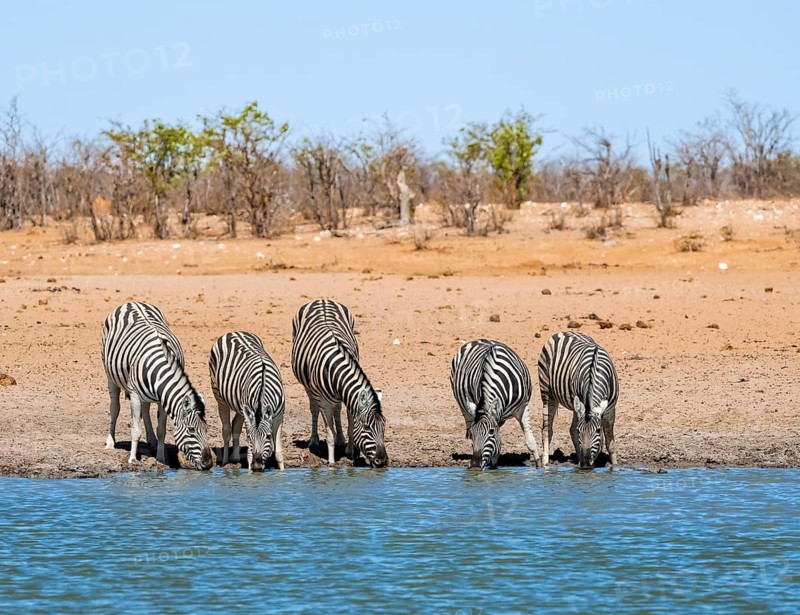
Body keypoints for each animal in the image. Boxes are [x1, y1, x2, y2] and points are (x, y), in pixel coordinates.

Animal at [102, 301, 213, 470]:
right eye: (191, 430)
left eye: (206, 429)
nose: (208, 464)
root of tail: (132, 302)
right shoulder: (135, 395)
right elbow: (135, 429)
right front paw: (132, 459)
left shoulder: (164, 399)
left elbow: (161, 430)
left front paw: (161, 458)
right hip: (111, 378)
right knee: (115, 408)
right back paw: (110, 442)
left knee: (145, 409)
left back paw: (152, 442)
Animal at [209, 331, 286, 471]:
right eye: (249, 438)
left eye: (268, 436)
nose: (257, 466)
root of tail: (234, 332)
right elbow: (250, 452)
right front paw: (250, 470)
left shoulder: (279, 416)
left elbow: (278, 452)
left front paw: (282, 471)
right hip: (219, 396)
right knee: (226, 429)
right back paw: (225, 461)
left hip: (240, 405)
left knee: (235, 425)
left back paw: (235, 457)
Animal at [291, 299, 388, 468]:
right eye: (367, 427)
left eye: (384, 426)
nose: (382, 461)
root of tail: (321, 299)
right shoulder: (324, 402)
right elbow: (329, 433)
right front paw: (331, 462)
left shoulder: (350, 399)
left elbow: (350, 426)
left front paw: (350, 451)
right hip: (309, 388)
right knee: (314, 409)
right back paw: (314, 441)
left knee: (337, 409)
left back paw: (341, 440)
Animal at [450, 339, 541, 469]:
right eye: (473, 433)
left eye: (491, 432)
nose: (475, 466)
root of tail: (477, 340)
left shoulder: (522, 407)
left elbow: (530, 441)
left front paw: (540, 465)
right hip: (464, 407)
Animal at [537, 331, 619, 470]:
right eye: (580, 431)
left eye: (598, 430)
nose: (585, 464)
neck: (595, 370)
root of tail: (562, 332)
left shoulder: (610, 408)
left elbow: (610, 442)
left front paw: (615, 467)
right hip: (547, 393)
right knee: (547, 429)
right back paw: (546, 463)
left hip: (575, 404)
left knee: (570, 429)